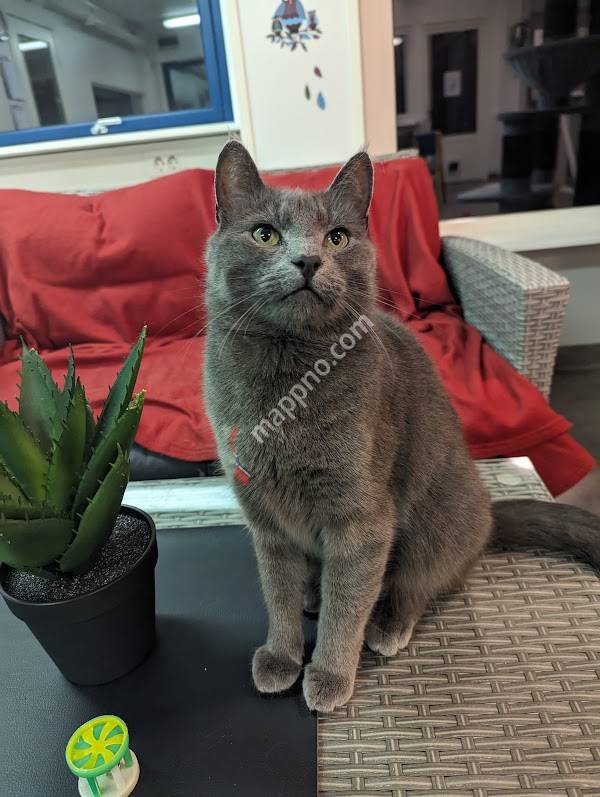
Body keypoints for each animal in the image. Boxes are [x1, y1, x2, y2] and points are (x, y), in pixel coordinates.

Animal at [204, 141, 600, 713]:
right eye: (265, 234)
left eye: (337, 237)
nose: (308, 259)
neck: (285, 379)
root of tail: (488, 515)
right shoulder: (265, 517)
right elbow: (277, 593)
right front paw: (281, 656)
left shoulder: (363, 519)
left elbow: (348, 604)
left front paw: (328, 674)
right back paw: (312, 594)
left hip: (434, 518)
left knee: (418, 583)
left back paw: (387, 625)